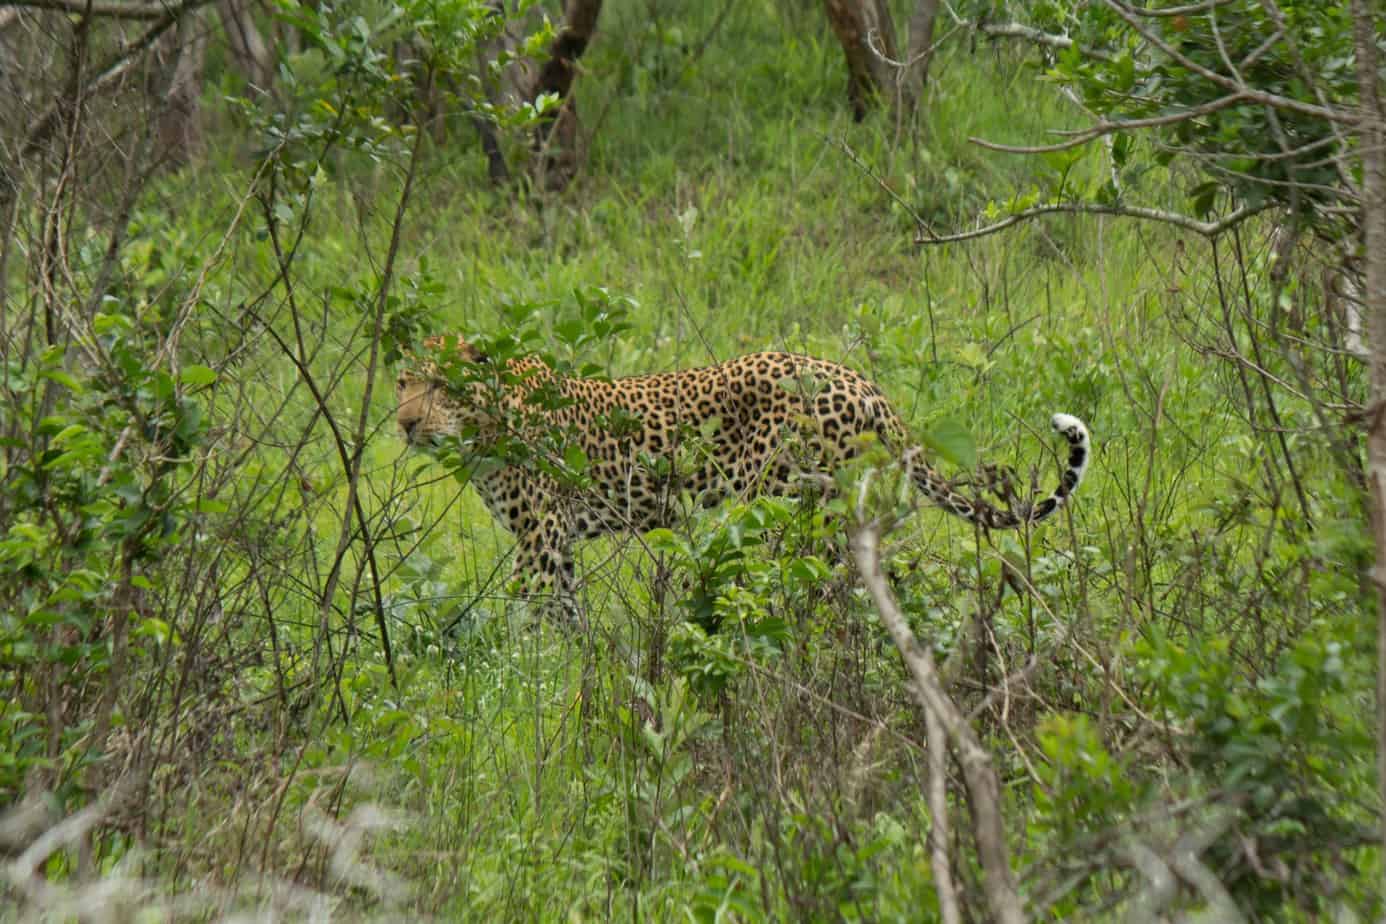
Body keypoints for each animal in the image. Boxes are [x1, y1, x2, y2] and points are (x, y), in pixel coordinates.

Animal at [396, 338, 1086, 620]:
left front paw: (519, 683)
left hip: (783, 506)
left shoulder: (538, 540)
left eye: (442, 386)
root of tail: (863, 383)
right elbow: (566, 618)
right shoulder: (555, 544)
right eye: (404, 382)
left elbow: (526, 622)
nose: (405, 422)